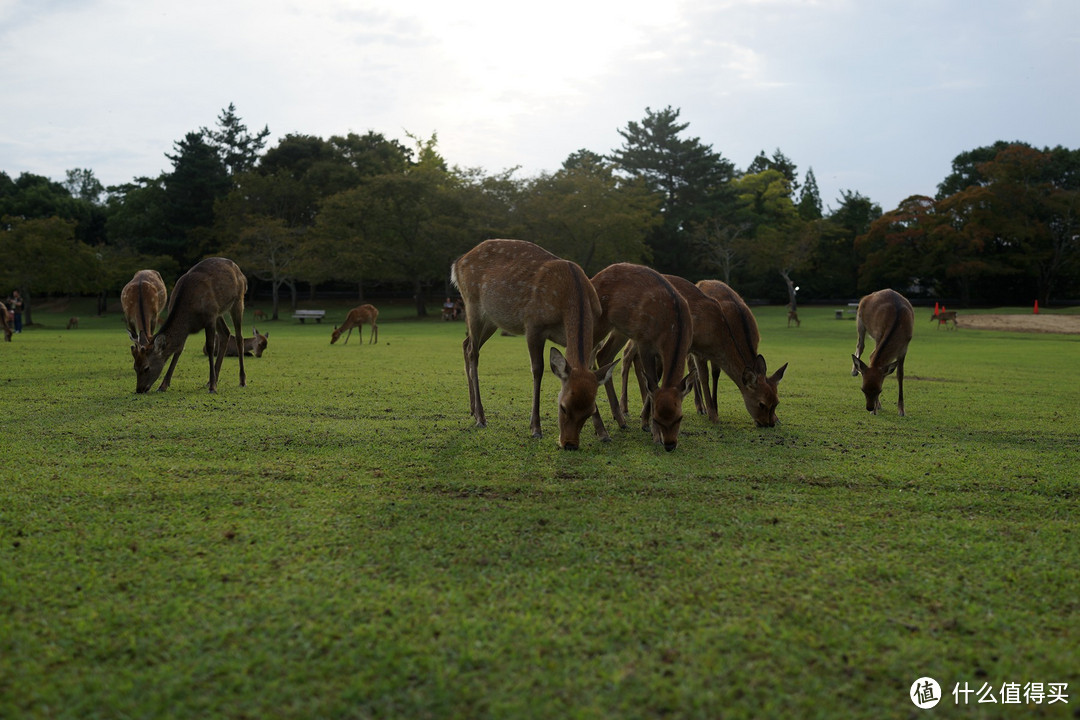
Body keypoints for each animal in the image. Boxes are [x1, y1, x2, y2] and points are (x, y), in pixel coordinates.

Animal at [130, 257, 247, 395]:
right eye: (135, 367)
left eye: (146, 368)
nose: (139, 389)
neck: (189, 315)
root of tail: (240, 272)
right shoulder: (189, 327)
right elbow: (179, 349)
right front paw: (163, 385)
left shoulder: (210, 317)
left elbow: (210, 347)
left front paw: (213, 388)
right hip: (219, 311)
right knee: (225, 333)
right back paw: (211, 380)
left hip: (238, 301)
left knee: (239, 337)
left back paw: (241, 380)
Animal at [449, 237, 617, 451]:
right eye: (562, 406)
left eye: (590, 409)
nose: (569, 444)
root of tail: (458, 262)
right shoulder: (533, 325)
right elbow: (538, 370)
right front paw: (536, 428)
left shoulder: (594, 338)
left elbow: (591, 371)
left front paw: (603, 432)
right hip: (472, 305)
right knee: (473, 353)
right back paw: (480, 417)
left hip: (493, 318)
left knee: (466, 344)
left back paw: (472, 409)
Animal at [591, 262, 699, 453]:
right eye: (657, 418)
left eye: (680, 417)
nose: (670, 445)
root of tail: (593, 278)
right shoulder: (644, 342)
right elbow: (652, 383)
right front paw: (654, 435)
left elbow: (654, 385)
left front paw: (644, 424)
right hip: (599, 322)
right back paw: (602, 431)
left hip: (620, 329)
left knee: (603, 355)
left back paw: (620, 420)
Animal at [695, 280, 790, 427]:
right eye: (761, 404)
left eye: (776, 403)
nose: (768, 424)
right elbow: (706, 376)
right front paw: (713, 413)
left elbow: (715, 374)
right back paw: (701, 408)